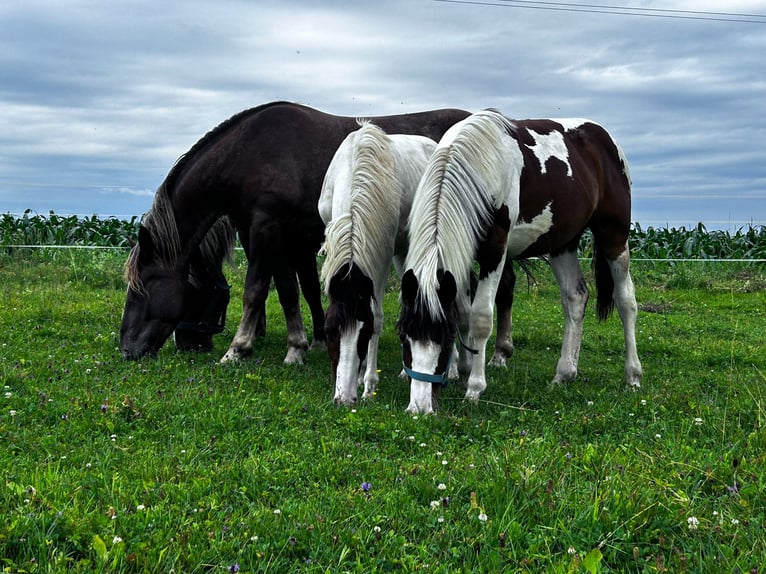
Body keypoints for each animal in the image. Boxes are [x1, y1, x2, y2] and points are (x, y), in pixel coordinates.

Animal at [121, 102, 472, 364]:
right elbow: (290, 291)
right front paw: (298, 347)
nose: (127, 348)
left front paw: (238, 349)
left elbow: (256, 290)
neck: (247, 153)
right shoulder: (279, 237)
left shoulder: (267, 231)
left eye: (143, 286)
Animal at [318, 121, 438, 408]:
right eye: (329, 332)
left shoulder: (381, 259)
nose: (343, 399)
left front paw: (368, 384)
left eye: (365, 333)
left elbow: (378, 315)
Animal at [400, 109, 644, 414]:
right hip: (562, 243)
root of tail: (605, 138)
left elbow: (481, 317)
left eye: (443, 339)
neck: (476, 165)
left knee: (626, 301)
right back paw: (564, 373)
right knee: (575, 297)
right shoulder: (462, 254)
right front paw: (463, 370)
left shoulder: (495, 250)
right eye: (404, 336)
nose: (418, 407)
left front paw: (474, 388)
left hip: (614, 236)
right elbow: (462, 312)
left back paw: (633, 376)